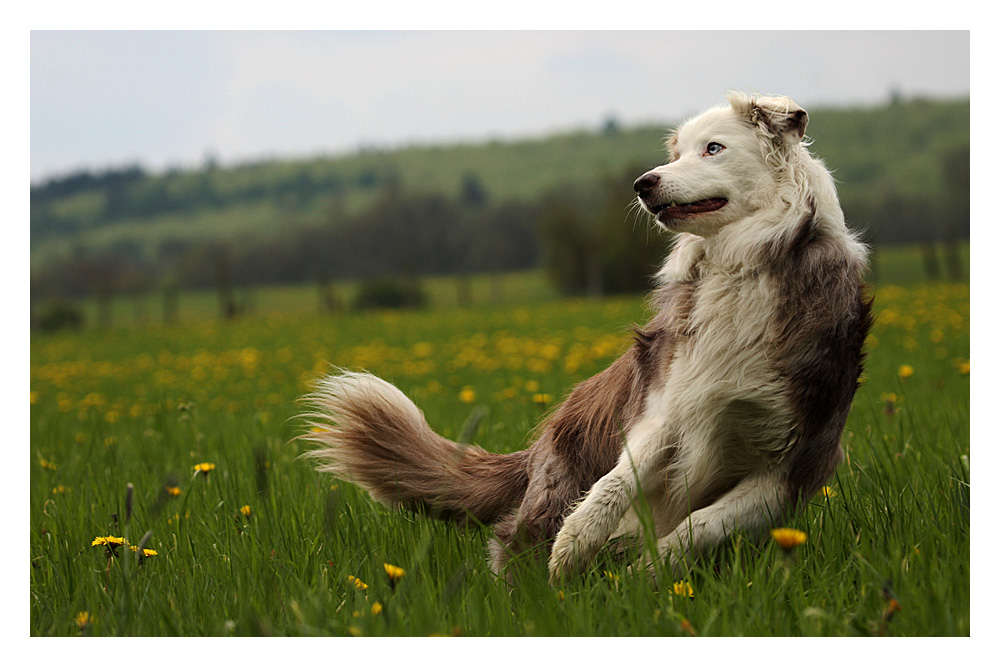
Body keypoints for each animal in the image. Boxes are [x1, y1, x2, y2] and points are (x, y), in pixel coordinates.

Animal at [300, 91, 872, 580]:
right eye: (676, 153)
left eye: (714, 148)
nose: (643, 183)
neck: (741, 264)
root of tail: (533, 452)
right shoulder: (666, 408)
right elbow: (618, 479)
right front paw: (576, 542)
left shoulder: (792, 466)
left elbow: (701, 527)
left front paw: (646, 574)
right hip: (551, 489)